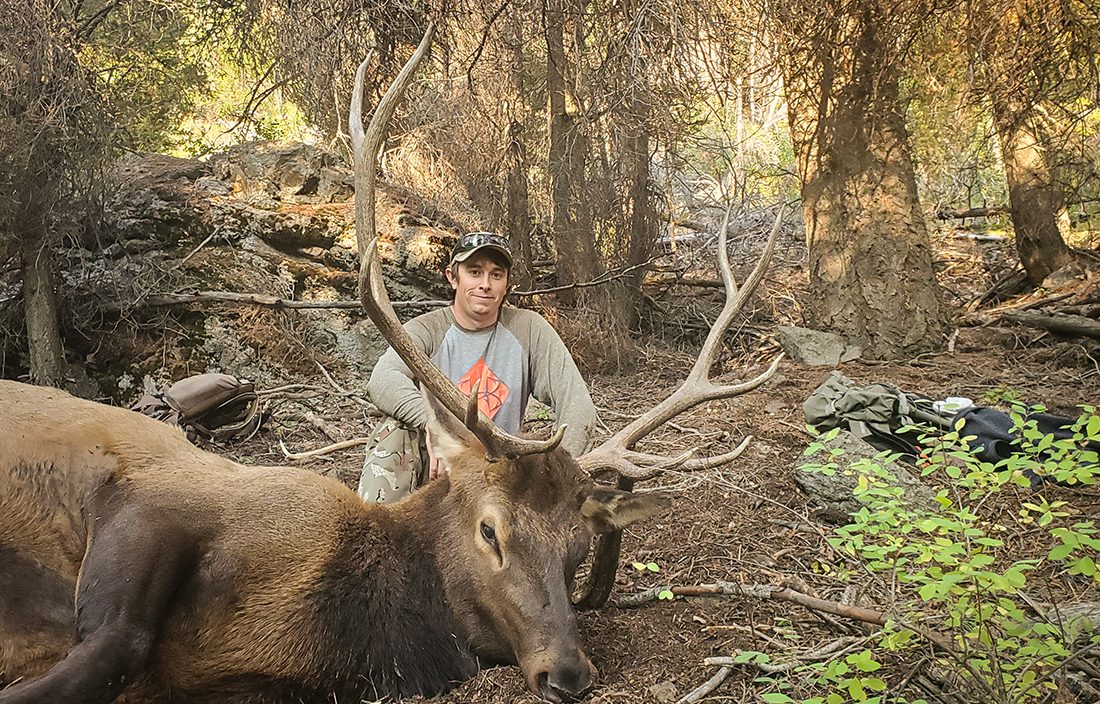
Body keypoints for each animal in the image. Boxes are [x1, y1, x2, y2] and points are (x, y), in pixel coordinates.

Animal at [0, 21, 783, 704]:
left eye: (578, 548)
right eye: (491, 530)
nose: (569, 673)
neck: (335, 623)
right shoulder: (157, 501)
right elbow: (117, 640)